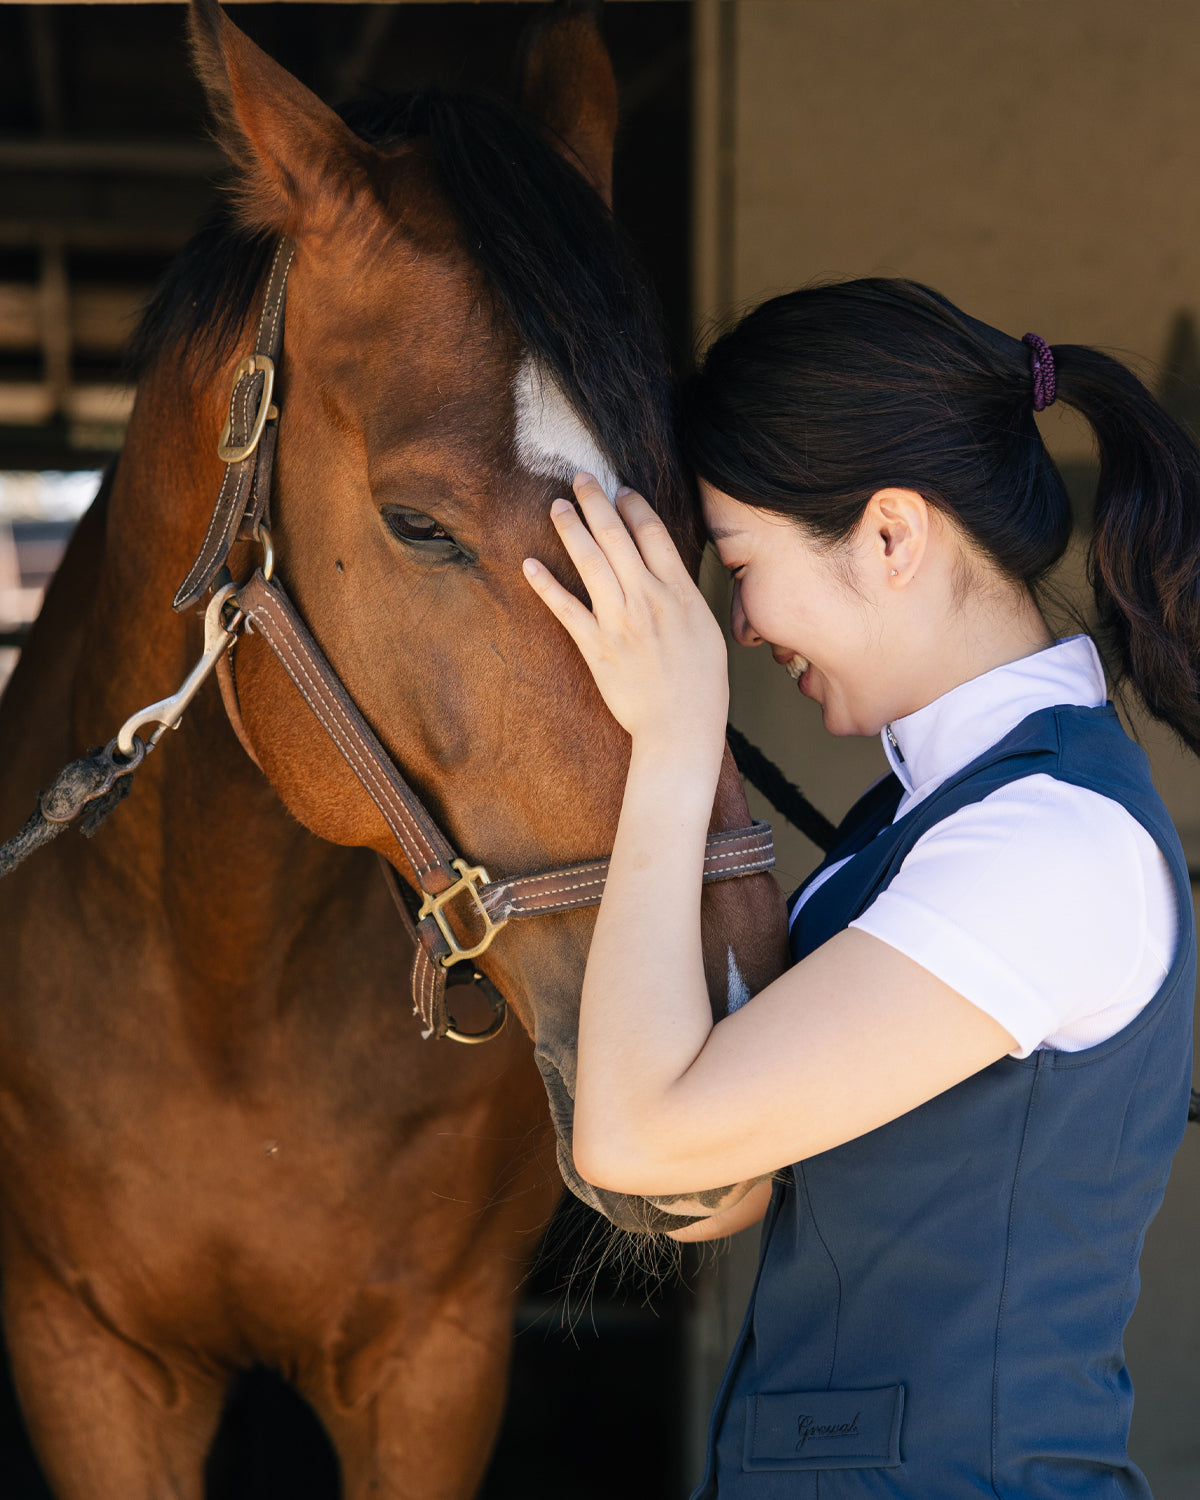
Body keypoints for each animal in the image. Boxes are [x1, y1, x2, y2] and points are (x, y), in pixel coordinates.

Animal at [0, 5, 786, 1494]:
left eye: (682, 509)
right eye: (420, 525)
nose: (725, 1051)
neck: (222, 987)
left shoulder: (433, 1362)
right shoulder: (88, 1362)